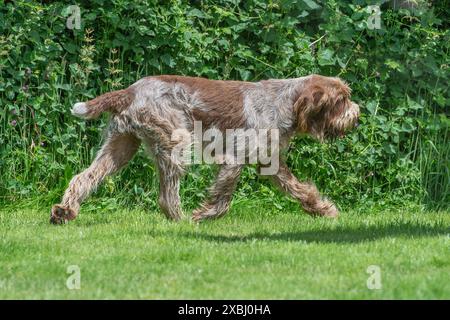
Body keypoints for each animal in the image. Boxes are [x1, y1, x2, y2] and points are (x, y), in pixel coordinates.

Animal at [49, 75, 360, 225]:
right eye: (342, 100)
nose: (357, 116)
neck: (282, 102)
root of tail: (129, 91)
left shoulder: (270, 164)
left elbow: (300, 190)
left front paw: (324, 210)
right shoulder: (234, 159)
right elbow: (222, 200)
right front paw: (203, 216)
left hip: (120, 148)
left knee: (83, 178)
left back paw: (65, 211)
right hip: (176, 142)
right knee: (166, 196)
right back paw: (181, 220)